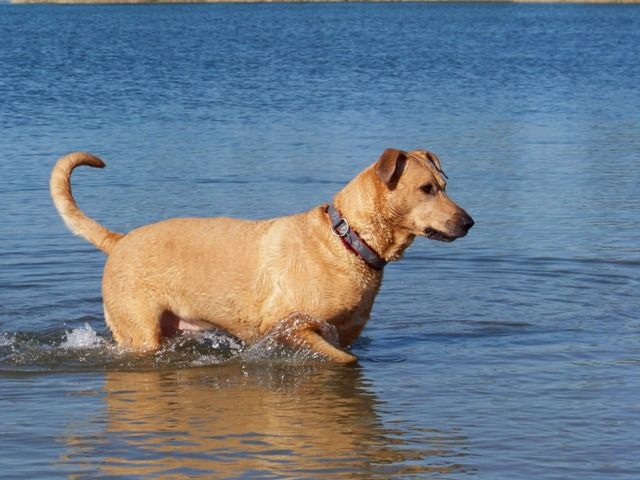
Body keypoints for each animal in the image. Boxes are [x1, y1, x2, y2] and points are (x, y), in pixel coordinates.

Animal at [50, 149, 473, 363]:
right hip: (140, 333)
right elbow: (342, 360)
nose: (469, 222)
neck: (348, 240)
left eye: (444, 184)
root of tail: (119, 240)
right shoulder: (289, 326)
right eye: (426, 189)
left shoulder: (346, 334)